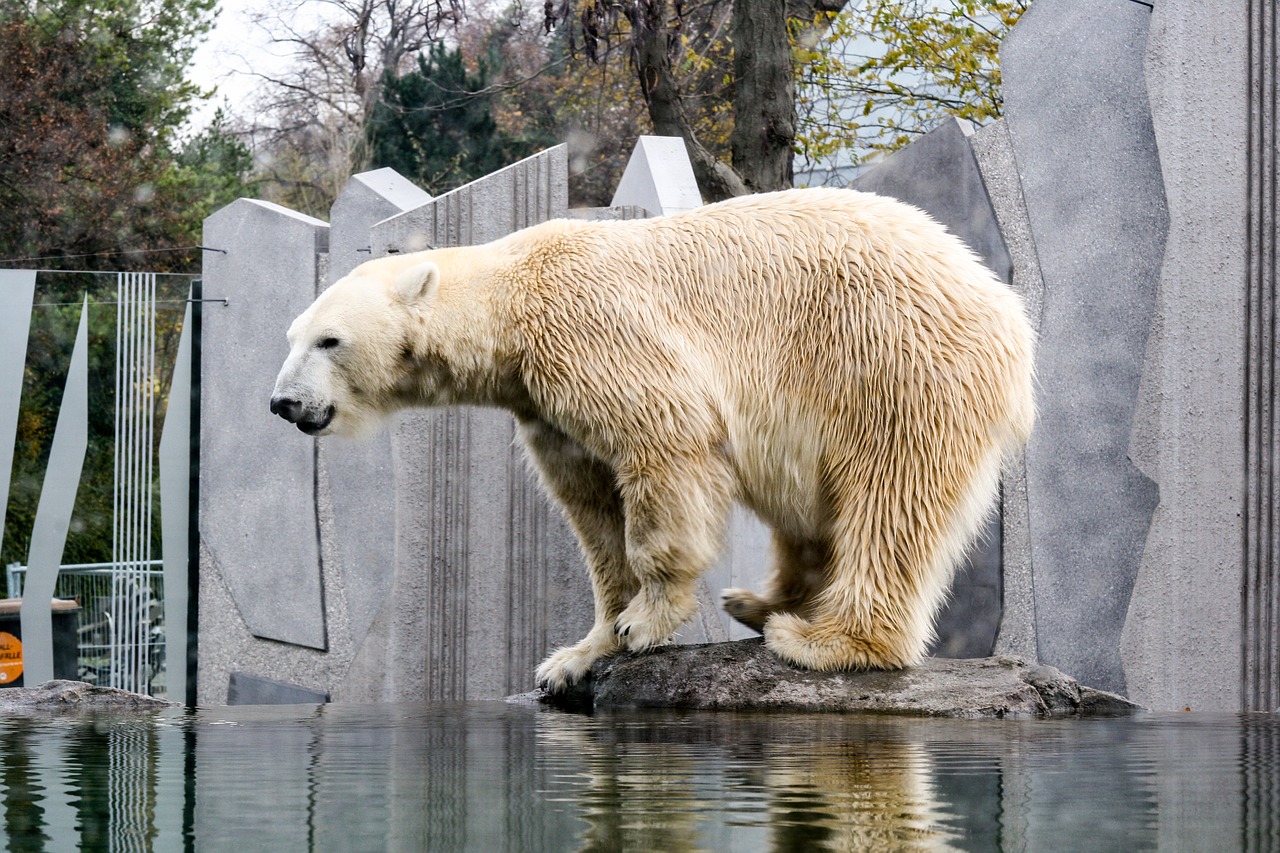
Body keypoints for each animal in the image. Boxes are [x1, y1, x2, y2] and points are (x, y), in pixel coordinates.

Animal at [275, 183, 1034, 686]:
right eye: (292, 336)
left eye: (329, 339)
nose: (283, 402)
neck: (513, 299)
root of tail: (1001, 302)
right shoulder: (545, 406)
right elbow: (593, 510)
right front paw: (576, 655)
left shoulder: (595, 337)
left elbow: (665, 453)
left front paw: (647, 620)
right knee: (808, 511)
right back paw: (760, 602)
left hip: (887, 362)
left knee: (889, 497)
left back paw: (824, 640)